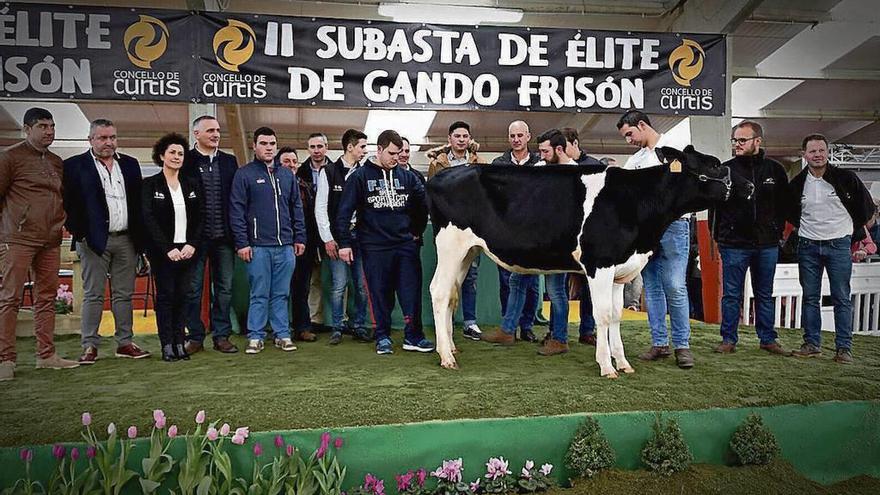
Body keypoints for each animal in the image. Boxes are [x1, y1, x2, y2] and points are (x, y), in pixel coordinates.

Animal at [426, 145, 744, 378]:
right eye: (714, 164)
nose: (748, 186)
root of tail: (442, 176)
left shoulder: (619, 270)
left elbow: (615, 316)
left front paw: (623, 363)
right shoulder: (599, 263)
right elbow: (601, 314)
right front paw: (606, 366)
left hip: (468, 251)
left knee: (452, 295)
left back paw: (451, 348)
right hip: (450, 245)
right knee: (439, 292)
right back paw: (446, 357)